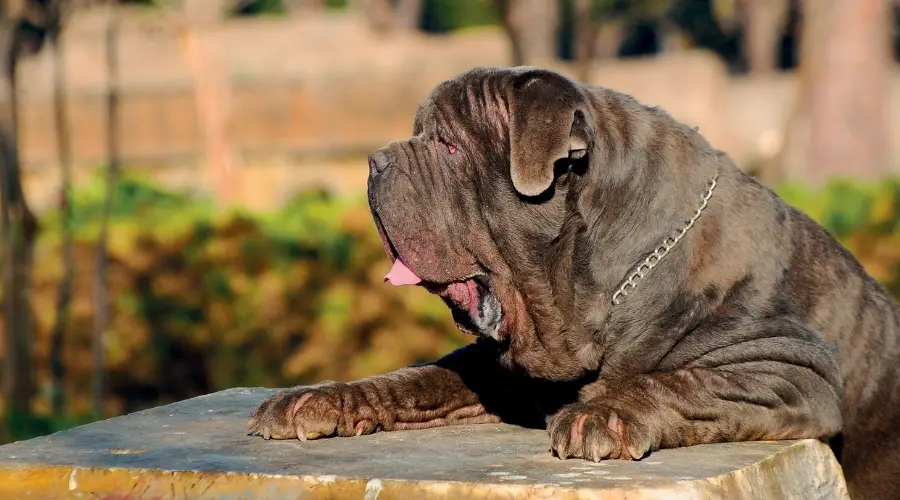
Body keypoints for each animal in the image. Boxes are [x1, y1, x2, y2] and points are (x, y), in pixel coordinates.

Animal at [246, 67, 900, 500]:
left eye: (450, 146)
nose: (375, 161)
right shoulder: (505, 371)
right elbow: (418, 378)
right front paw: (320, 397)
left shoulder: (791, 366)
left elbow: (684, 380)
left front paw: (603, 413)